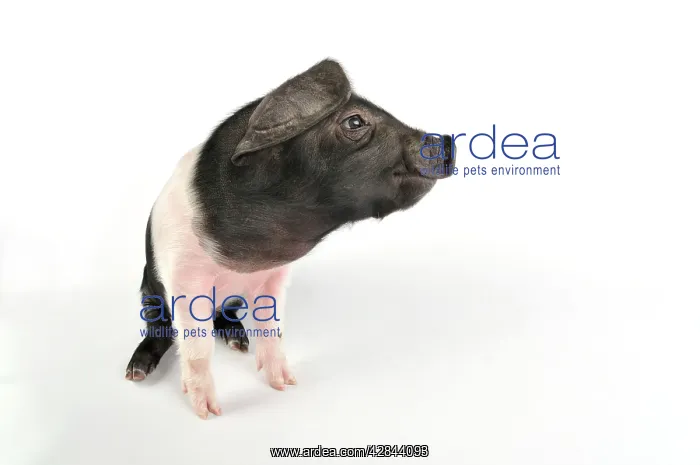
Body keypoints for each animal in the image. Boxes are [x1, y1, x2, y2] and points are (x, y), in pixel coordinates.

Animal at [124, 59, 453, 419]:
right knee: (158, 328)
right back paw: (135, 373)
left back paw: (239, 343)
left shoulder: (276, 277)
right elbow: (197, 346)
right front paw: (209, 412)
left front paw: (285, 384)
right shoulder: (184, 277)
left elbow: (271, 329)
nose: (447, 140)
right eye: (354, 122)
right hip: (149, 288)